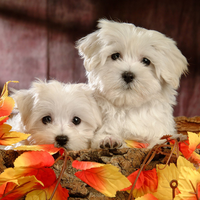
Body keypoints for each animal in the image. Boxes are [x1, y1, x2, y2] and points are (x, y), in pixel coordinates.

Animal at [76, 19, 188, 149]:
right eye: (115, 56)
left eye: (146, 61)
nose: (128, 75)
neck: (128, 107)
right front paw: (108, 140)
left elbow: (157, 139)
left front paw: (168, 141)